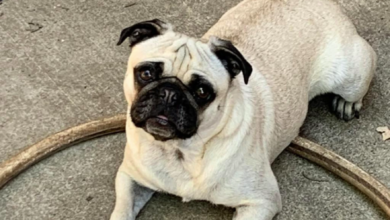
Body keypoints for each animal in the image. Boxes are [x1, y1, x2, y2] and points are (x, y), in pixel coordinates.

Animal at [109, 0, 374, 219]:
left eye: (202, 91)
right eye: (146, 73)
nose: (170, 93)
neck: (181, 151)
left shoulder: (261, 201)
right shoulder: (129, 177)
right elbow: (122, 209)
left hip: (349, 77)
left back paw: (347, 103)